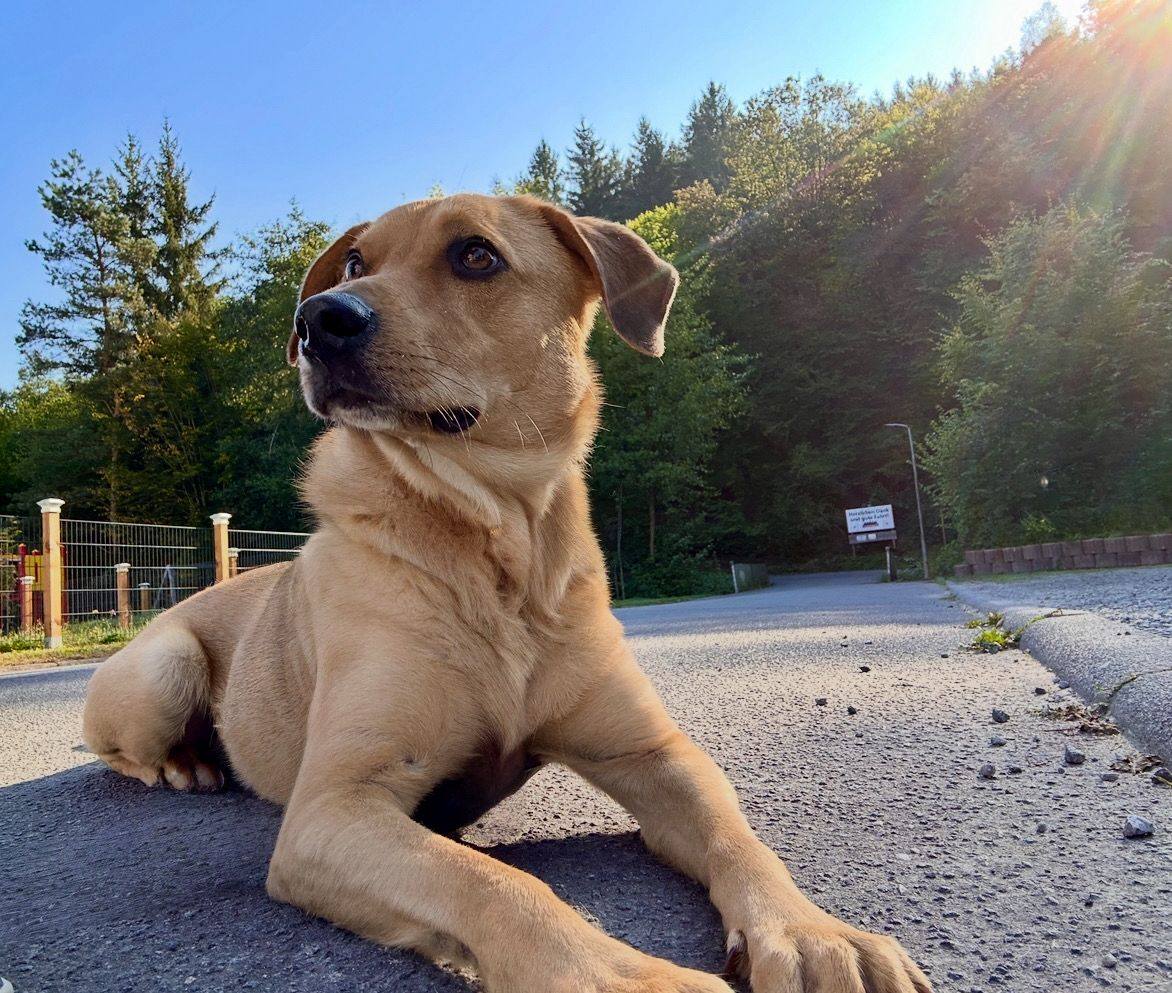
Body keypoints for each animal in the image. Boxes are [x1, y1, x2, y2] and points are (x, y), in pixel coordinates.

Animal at [84, 193, 932, 993]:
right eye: (355, 263)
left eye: (475, 255)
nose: (318, 318)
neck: (496, 541)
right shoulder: (334, 806)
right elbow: (493, 881)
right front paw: (622, 977)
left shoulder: (653, 751)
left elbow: (742, 839)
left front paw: (817, 933)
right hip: (164, 664)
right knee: (121, 749)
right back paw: (185, 763)